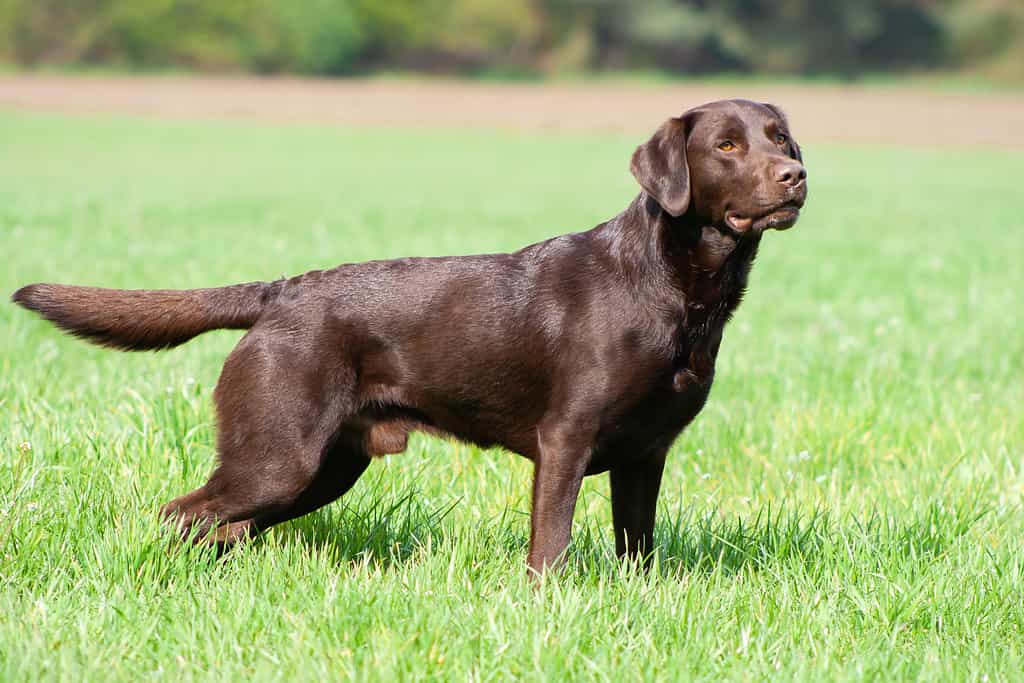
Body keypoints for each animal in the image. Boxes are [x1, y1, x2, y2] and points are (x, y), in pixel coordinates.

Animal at [12, 100, 802, 573]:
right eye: (727, 146)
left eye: (781, 138)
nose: (795, 175)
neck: (675, 287)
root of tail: (280, 291)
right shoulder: (565, 442)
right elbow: (550, 547)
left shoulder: (646, 454)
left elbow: (638, 548)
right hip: (278, 457)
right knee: (183, 513)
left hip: (324, 467)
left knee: (222, 525)